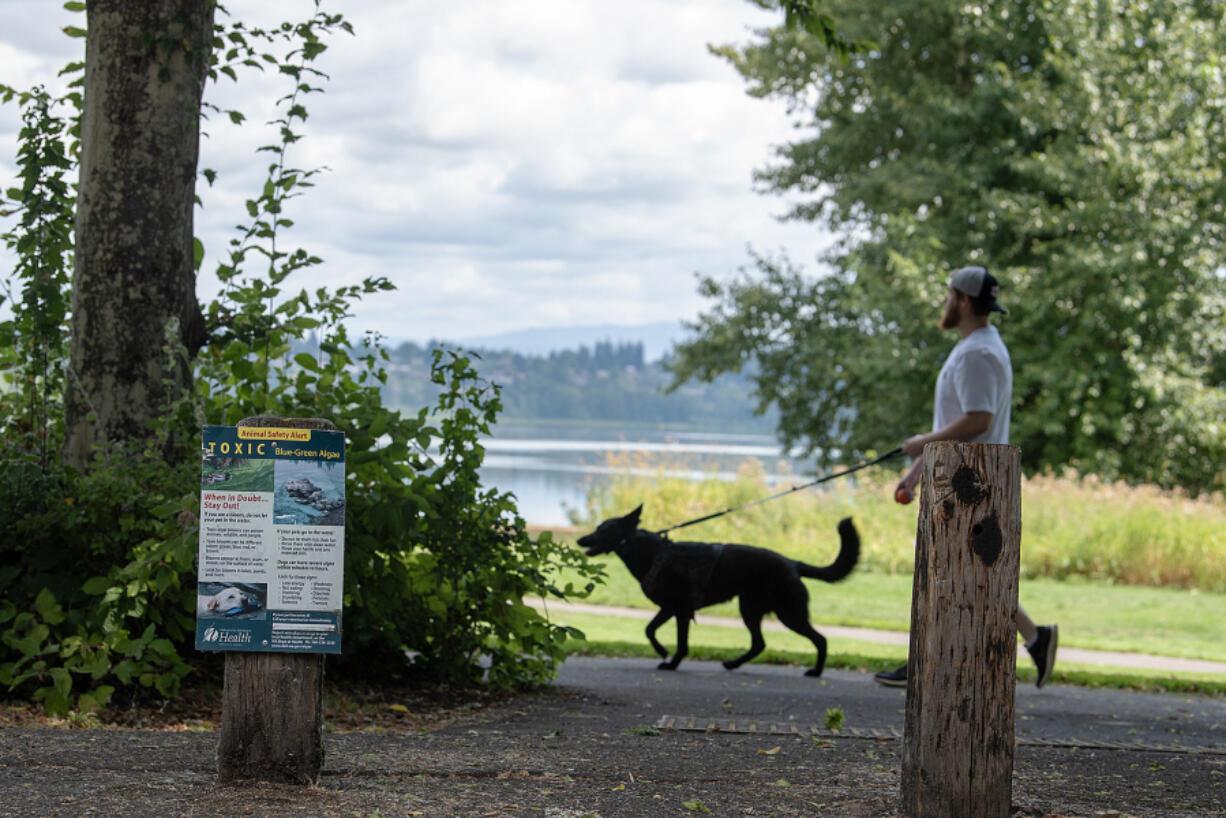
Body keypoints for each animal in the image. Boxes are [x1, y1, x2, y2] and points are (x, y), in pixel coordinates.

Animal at [576, 505, 858, 676]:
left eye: (602, 529)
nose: (579, 540)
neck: (651, 553)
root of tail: (793, 563)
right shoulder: (669, 608)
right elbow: (649, 629)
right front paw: (663, 651)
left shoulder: (681, 611)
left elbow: (681, 642)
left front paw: (672, 662)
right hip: (750, 609)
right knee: (759, 643)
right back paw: (733, 663)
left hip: (788, 613)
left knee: (820, 639)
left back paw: (816, 671)